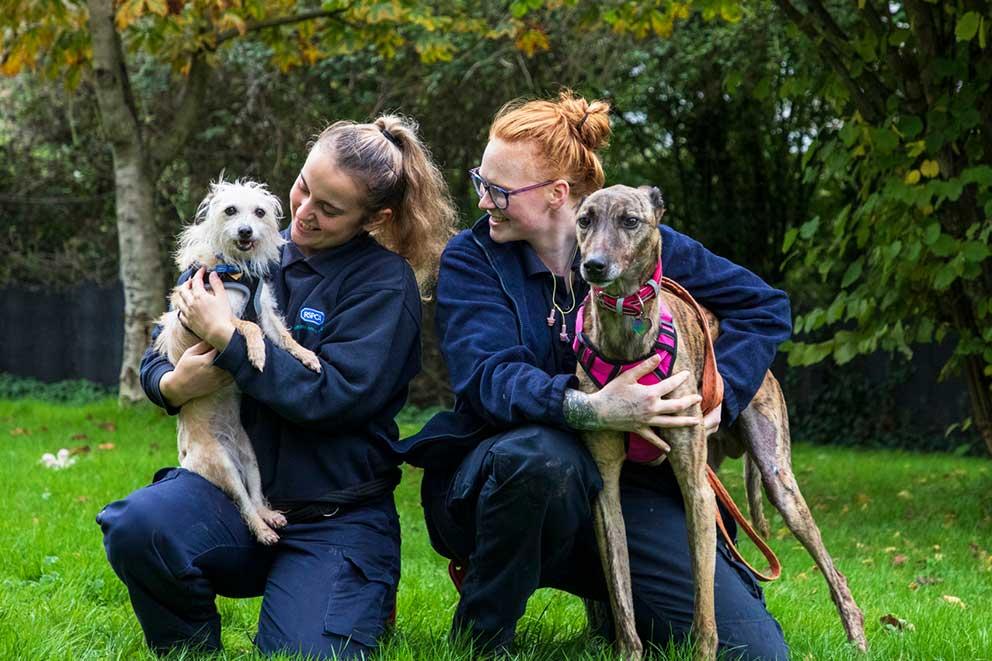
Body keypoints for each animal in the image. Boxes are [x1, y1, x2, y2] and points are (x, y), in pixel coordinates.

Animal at [154, 178, 322, 544]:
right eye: (230, 210)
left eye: (259, 212)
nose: (246, 231)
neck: (237, 268)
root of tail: (188, 460)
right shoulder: (218, 315)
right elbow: (249, 327)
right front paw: (257, 353)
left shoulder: (265, 311)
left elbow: (283, 336)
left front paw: (307, 357)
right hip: (223, 466)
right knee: (243, 504)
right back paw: (263, 531)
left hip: (251, 459)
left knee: (255, 497)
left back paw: (269, 516)